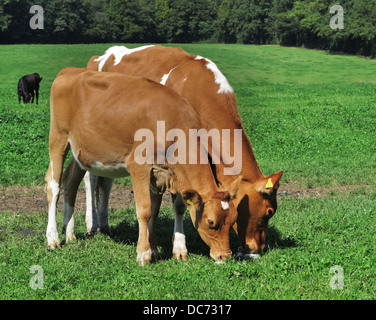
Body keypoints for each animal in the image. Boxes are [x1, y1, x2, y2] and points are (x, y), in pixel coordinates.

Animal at [45, 67, 239, 264]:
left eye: (233, 220)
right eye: (211, 222)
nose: (224, 255)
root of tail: (70, 70)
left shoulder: (163, 174)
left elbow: (155, 211)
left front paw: (155, 251)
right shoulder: (139, 166)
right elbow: (145, 210)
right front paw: (143, 253)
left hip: (82, 151)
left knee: (70, 181)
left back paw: (70, 234)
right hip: (59, 137)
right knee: (53, 185)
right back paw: (53, 238)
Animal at [72, 45, 282, 258]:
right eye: (269, 211)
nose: (257, 248)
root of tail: (102, 55)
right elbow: (175, 205)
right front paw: (177, 247)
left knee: (106, 183)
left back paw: (104, 225)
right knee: (91, 179)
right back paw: (92, 224)